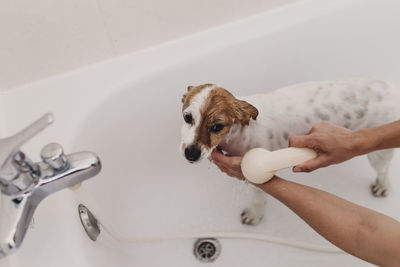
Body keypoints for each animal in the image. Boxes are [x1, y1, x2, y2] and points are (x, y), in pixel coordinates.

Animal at [180, 78, 396, 225]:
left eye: (217, 127)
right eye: (187, 117)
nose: (190, 154)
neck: (242, 132)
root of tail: (390, 87)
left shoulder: (257, 173)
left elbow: (258, 198)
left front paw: (254, 214)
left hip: (377, 152)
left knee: (384, 169)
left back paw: (382, 185)